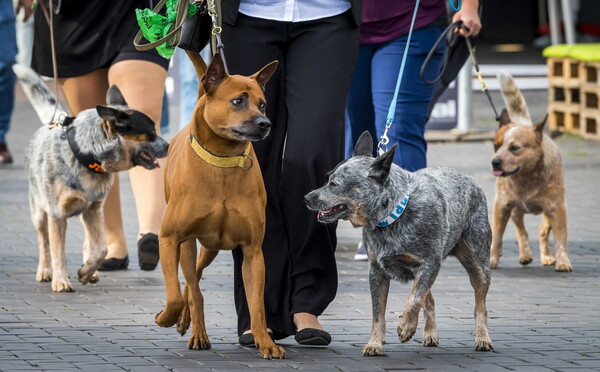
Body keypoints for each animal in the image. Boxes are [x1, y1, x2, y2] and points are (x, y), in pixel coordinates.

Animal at [14, 66, 169, 294]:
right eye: (151, 132)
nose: (169, 145)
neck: (84, 157)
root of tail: (50, 123)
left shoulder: (94, 209)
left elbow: (102, 248)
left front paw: (86, 272)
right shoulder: (56, 214)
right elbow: (57, 250)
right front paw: (61, 281)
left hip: (87, 213)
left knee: (89, 242)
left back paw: (91, 270)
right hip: (38, 212)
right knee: (43, 241)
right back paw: (44, 271)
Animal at [156, 51, 284, 358]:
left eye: (262, 104)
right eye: (238, 101)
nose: (265, 123)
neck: (223, 160)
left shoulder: (253, 252)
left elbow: (257, 305)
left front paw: (266, 342)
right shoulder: (169, 238)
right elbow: (174, 293)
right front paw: (166, 316)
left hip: (210, 248)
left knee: (196, 279)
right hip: (188, 245)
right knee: (192, 285)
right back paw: (195, 331)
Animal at [304, 131, 492, 354]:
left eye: (334, 184)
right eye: (328, 179)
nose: (306, 197)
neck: (394, 215)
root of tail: (470, 180)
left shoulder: (429, 264)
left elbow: (415, 299)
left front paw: (405, 328)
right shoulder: (376, 271)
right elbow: (378, 313)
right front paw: (375, 343)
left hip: (478, 262)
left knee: (480, 304)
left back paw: (483, 338)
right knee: (430, 298)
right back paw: (430, 333)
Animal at [490, 71, 568, 272]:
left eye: (514, 147)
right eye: (496, 146)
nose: (495, 162)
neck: (525, 178)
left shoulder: (557, 208)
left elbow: (561, 238)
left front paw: (563, 262)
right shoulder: (501, 205)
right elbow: (497, 237)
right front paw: (491, 259)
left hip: (548, 212)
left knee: (542, 232)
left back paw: (547, 256)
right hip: (515, 209)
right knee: (521, 230)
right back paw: (525, 253)